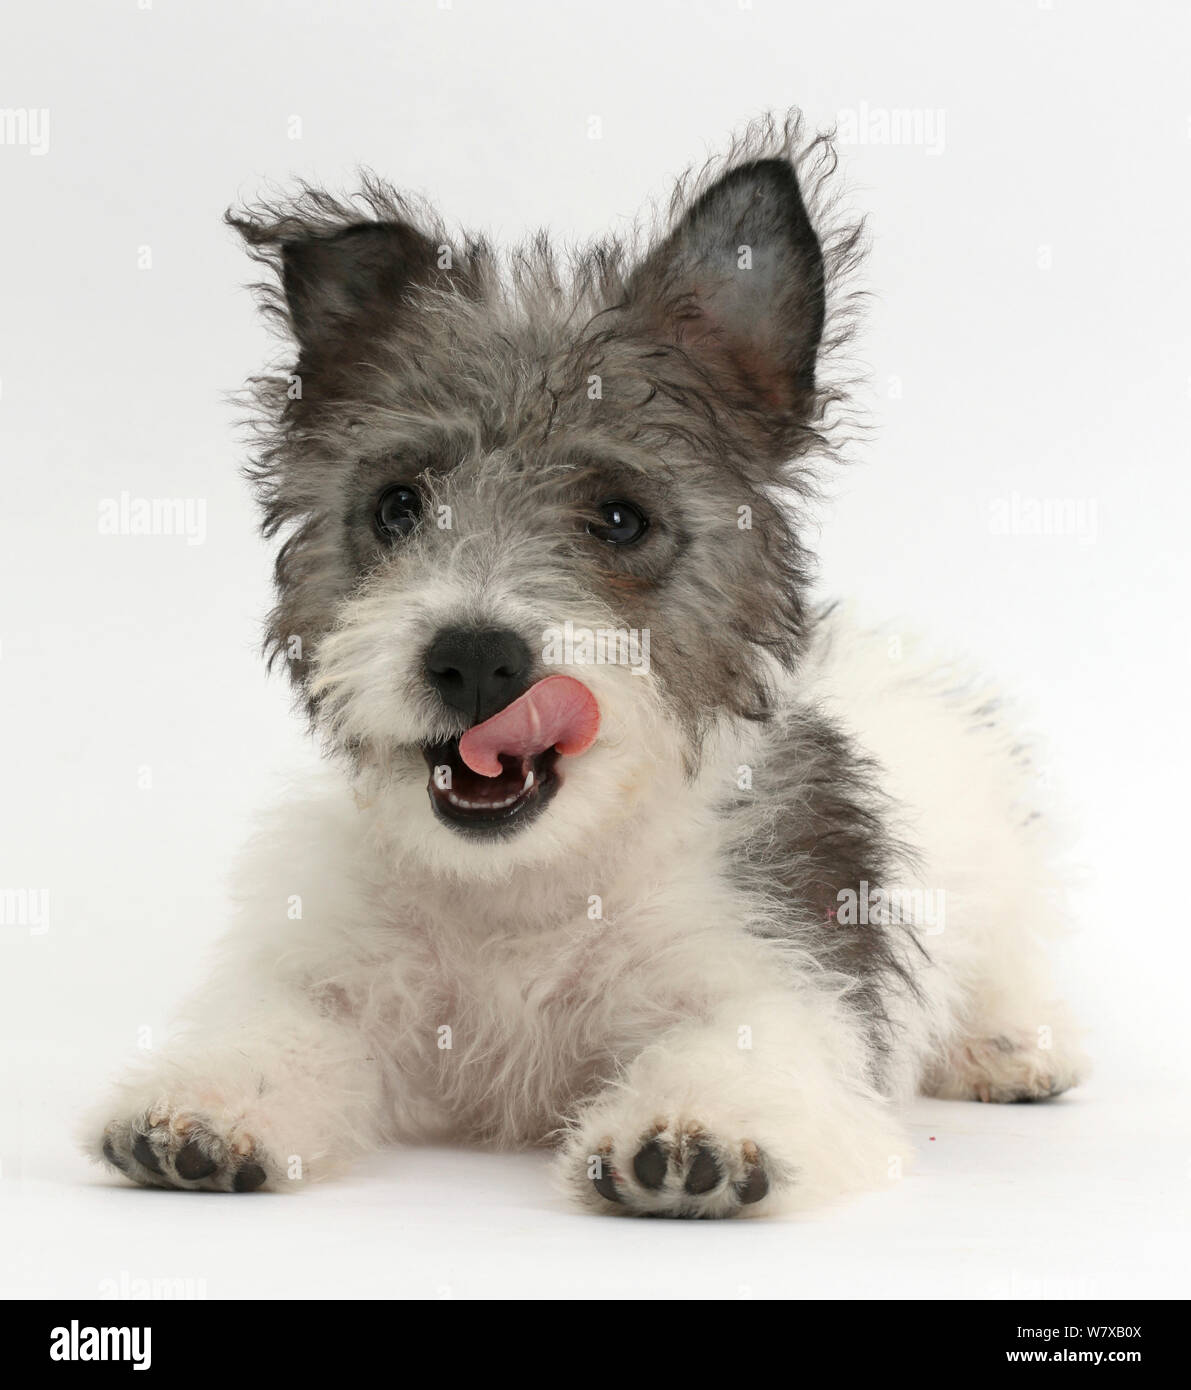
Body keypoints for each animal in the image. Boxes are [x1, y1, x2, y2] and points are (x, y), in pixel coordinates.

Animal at [88, 116, 1083, 1217]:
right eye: (397, 505)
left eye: (618, 518)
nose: (476, 659)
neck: (529, 883)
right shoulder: (337, 976)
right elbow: (283, 1031)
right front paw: (206, 1105)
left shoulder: (778, 965)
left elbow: (748, 1043)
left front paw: (697, 1129)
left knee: (1007, 964)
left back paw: (1009, 1047)